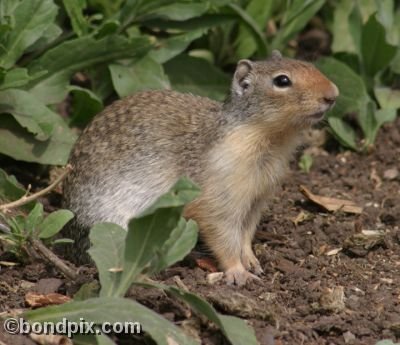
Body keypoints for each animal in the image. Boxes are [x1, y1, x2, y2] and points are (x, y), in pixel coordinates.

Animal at [62, 49, 338, 284]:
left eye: (308, 64)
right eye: (282, 81)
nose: (333, 94)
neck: (269, 140)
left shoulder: (256, 201)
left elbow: (245, 235)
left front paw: (251, 260)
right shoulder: (217, 198)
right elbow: (223, 236)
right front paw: (238, 272)